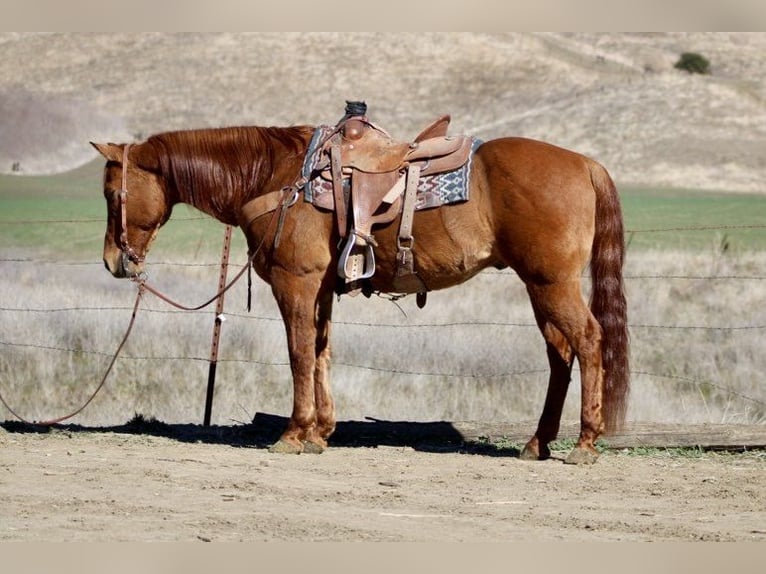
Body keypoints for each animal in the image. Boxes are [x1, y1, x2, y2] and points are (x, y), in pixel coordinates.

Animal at [91, 119, 632, 466]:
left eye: (111, 193)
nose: (114, 262)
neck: (277, 176)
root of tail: (585, 164)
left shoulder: (296, 281)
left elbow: (299, 352)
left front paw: (293, 434)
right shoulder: (322, 289)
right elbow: (321, 352)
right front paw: (320, 433)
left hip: (552, 283)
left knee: (588, 341)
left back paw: (584, 445)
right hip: (541, 287)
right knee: (560, 354)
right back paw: (538, 443)